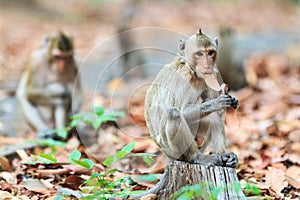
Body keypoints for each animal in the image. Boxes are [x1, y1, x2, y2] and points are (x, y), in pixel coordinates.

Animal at [144, 28, 238, 169]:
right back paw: (196, 157)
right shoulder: (183, 77)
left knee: (213, 116)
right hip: (171, 149)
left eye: (210, 53)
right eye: (199, 54)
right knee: (173, 114)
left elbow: (216, 109)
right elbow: (183, 111)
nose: (207, 65)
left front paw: (231, 100)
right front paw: (217, 103)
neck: (192, 70)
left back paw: (223, 154)